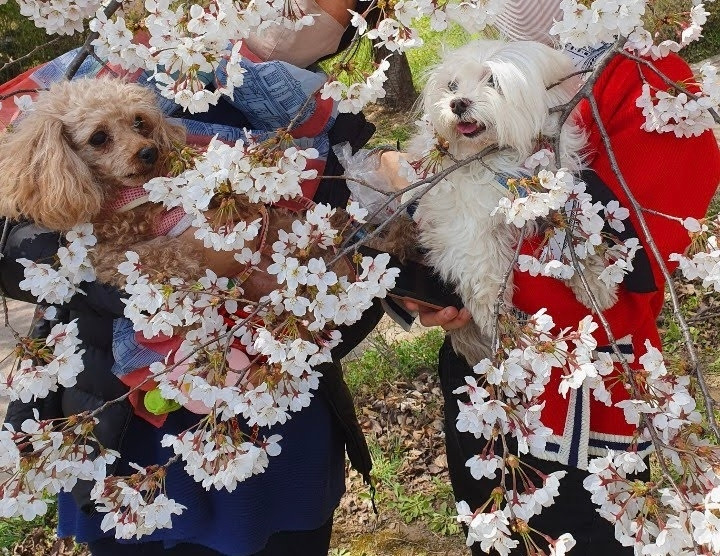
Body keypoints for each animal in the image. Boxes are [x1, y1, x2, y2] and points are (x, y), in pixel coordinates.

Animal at [408, 40, 616, 364]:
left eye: (492, 81)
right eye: (452, 85)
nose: (457, 103)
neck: (497, 156)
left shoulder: (555, 191)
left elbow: (570, 233)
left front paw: (593, 278)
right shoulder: (464, 228)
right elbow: (482, 272)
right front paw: (497, 319)